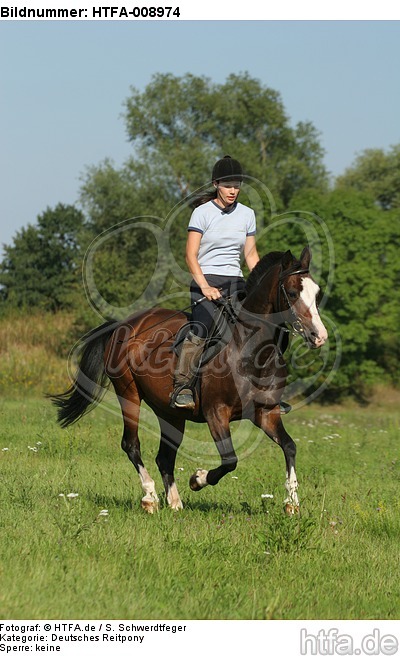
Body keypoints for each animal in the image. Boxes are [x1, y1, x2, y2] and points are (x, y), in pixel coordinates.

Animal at [51, 246, 328, 515]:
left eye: (317, 294)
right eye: (292, 293)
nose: (319, 336)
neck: (252, 351)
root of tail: (123, 325)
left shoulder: (266, 413)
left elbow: (289, 447)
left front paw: (292, 502)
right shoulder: (217, 413)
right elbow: (230, 460)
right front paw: (197, 479)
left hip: (170, 412)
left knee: (164, 457)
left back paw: (174, 502)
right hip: (128, 395)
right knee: (131, 445)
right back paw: (150, 497)